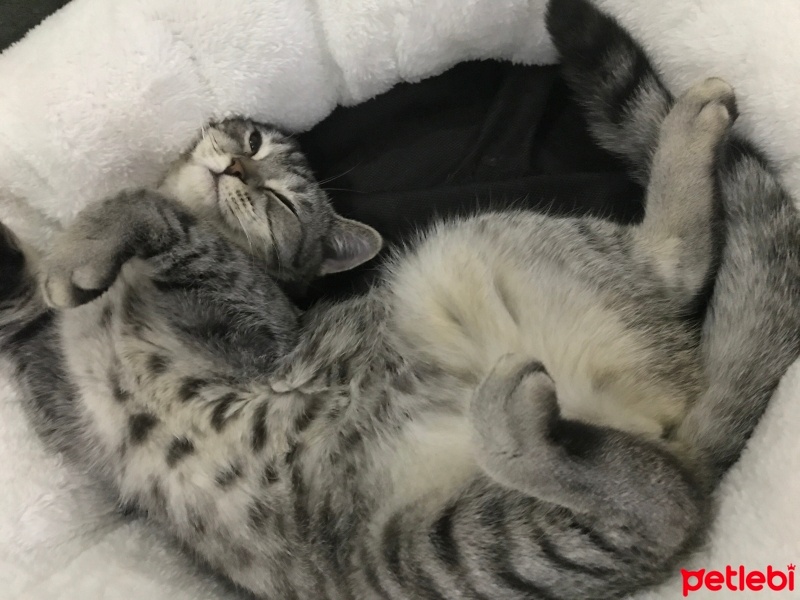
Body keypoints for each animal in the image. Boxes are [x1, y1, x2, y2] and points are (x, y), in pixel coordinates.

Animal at [0, 1, 796, 600]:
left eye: (281, 201)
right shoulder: (47, 370)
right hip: (443, 548)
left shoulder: (254, 334)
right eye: (250, 140)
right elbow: (25, 298)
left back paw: (690, 125)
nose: (238, 167)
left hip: (470, 248)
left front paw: (87, 240)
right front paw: (43, 253)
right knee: (661, 499)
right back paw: (522, 425)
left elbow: (160, 219)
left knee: (675, 294)